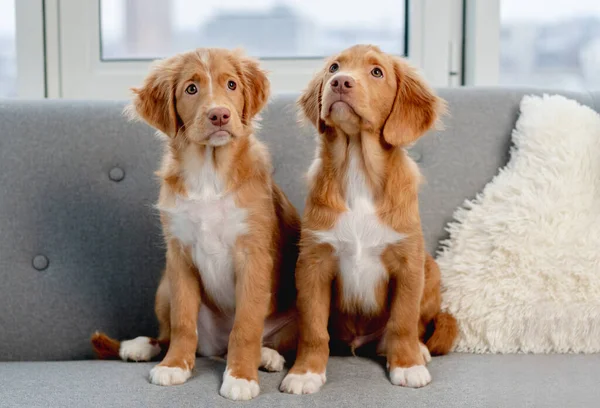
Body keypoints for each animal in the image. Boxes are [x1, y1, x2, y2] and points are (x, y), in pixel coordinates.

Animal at [89, 48, 300, 402]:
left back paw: (266, 356)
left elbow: (246, 325)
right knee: (166, 333)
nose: (220, 115)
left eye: (231, 84)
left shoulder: (253, 256)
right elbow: (183, 323)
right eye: (191, 89)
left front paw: (241, 376)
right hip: (163, 287)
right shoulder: (179, 256)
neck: (209, 173)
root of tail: (216, 348)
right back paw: (140, 346)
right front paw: (175, 365)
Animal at [278, 45, 458, 396]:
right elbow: (313, 327)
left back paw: (418, 350)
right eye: (334, 67)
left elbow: (403, 321)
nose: (340, 83)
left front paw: (407, 365)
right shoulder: (313, 263)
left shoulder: (408, 263)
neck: (358, 168)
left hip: (431, 269)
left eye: (377, 72)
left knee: (415, 326)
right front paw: (305, 372)